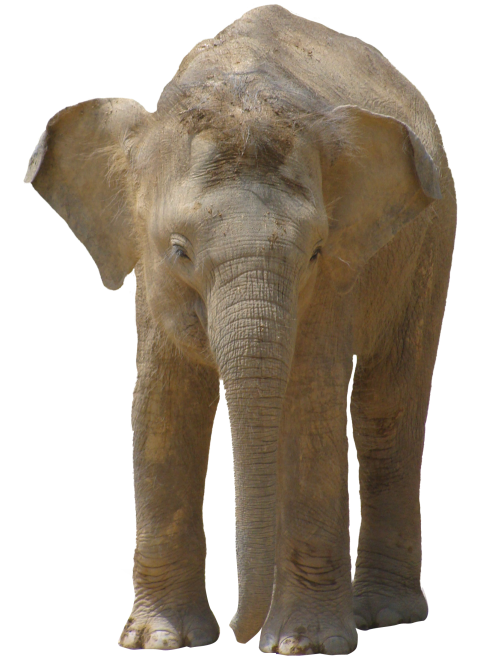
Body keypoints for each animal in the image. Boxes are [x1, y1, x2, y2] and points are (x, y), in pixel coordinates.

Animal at [24, 3, 456, 656]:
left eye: (315, 252)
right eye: (178, 249)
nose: (236, 630)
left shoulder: (336, 277)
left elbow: (310, 401)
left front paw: (303, 646)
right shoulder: (150, 275)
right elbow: (162, 404)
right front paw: (160, 642)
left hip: (434, 232)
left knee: (387, 406)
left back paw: (384, 615)